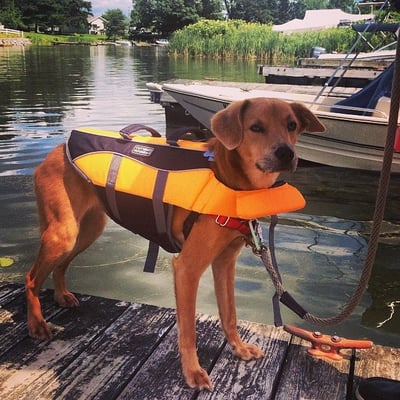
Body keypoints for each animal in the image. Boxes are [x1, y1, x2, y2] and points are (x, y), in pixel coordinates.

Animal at [25, 97, 324, 390]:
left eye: (292, 125)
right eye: (256, 127)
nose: (286, 153)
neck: (229, 178)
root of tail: (57, 149)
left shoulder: (225, 262)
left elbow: (229, 314)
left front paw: (238, 349)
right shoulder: (187, 268)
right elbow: (188, 330)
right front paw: (193, 372)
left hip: (87, 229)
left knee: (60, 266)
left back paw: (62, 295)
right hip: (63, 234)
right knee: (31, 277)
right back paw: (37, 324)